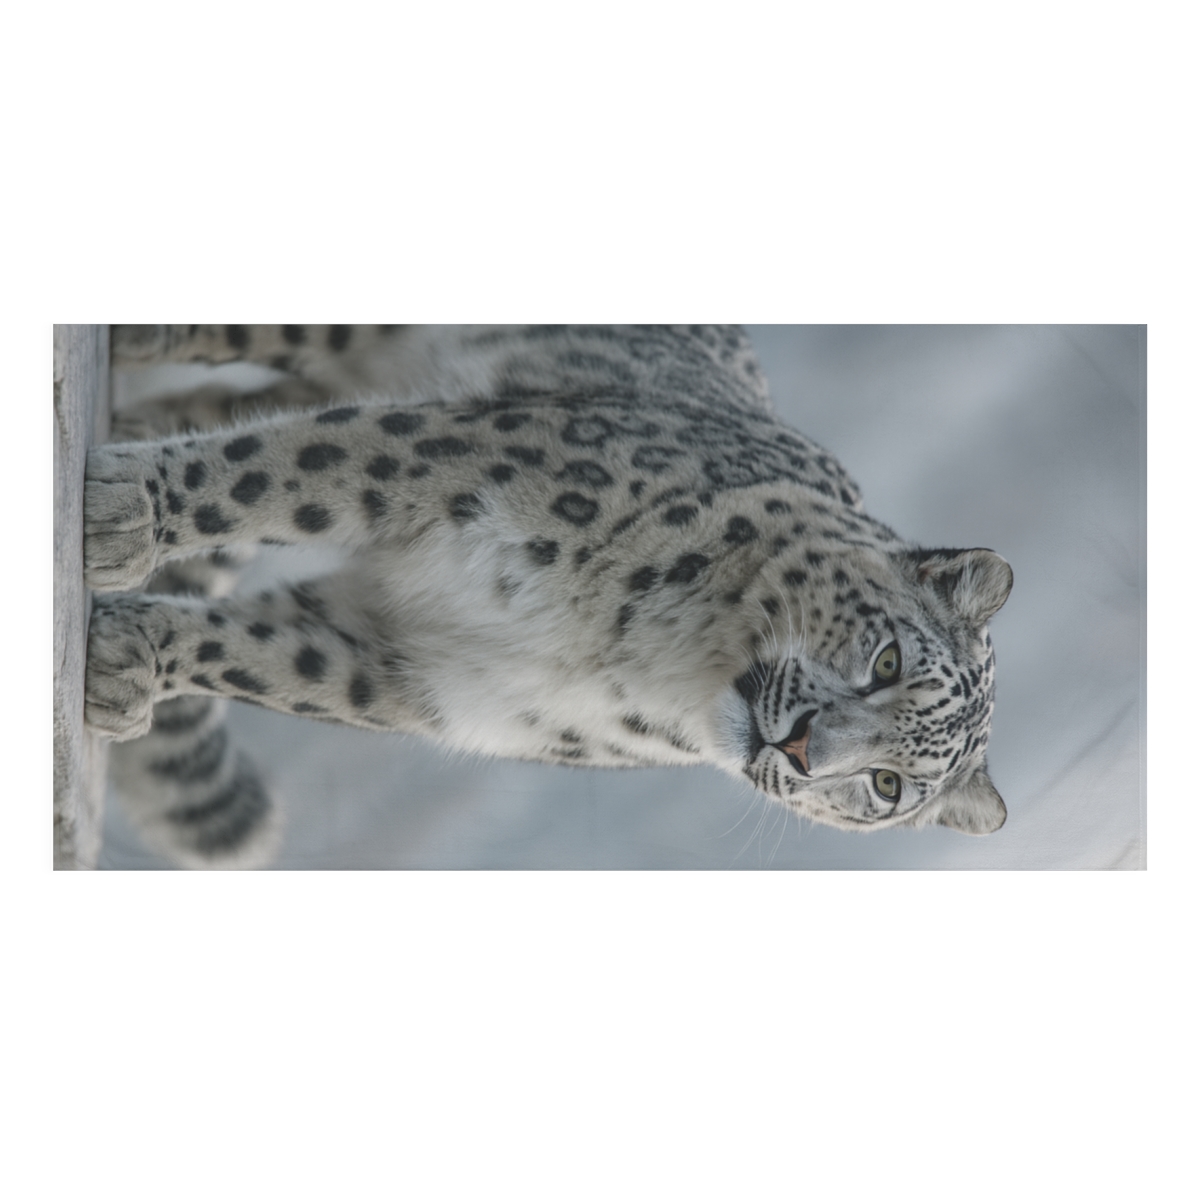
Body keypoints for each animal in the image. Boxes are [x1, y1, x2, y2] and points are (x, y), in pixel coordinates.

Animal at [84, 325, 1013, 867]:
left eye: (888, 786)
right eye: (886, 659)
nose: (802, 748)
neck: (645, 653)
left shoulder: (407, 667)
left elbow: (256, 660)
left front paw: (123, 661)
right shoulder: (455, 463)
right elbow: (268, 474)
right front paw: (122, 514)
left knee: (220, 403)